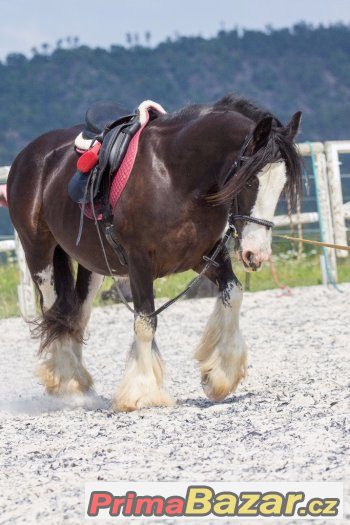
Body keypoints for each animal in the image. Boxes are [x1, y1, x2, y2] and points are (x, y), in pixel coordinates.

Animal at [6, 96, 302, 412]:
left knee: (77, 316)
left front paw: (220, 376)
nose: (255, 253)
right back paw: (69, 389)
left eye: (282, 184)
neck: (174, 175)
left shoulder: (205, 256)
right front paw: (142, 393)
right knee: (55, 312)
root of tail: (28, 156)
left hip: (93, 265)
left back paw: (79, 385)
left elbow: (233, 294)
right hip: (39, 253)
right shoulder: (138, 262)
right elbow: (145, 323)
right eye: (250, 182)